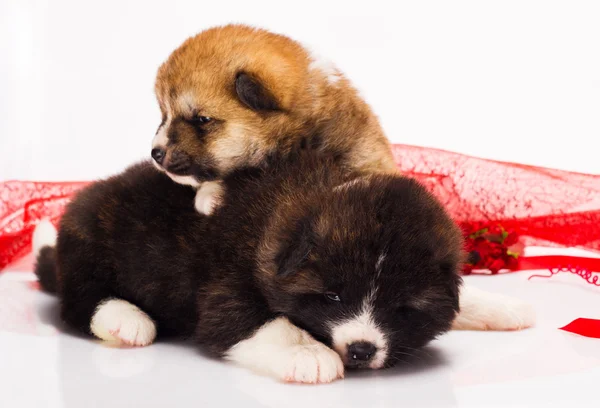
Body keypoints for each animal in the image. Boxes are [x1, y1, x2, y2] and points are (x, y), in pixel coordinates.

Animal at [32, 152, 528, 382]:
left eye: (401, 309)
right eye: (331, 296)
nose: (361, 350)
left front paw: (503, 306)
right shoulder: (224, 292)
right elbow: (265, 323)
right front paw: (308, 354)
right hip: (90, 246)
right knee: (78, 303)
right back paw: (126, 318)